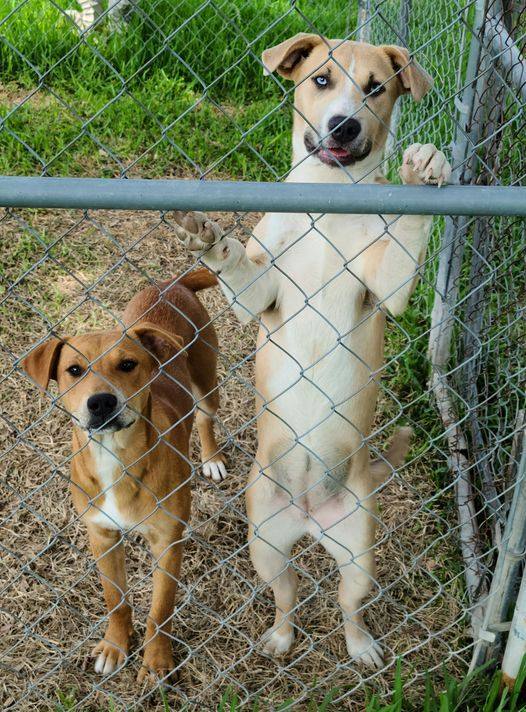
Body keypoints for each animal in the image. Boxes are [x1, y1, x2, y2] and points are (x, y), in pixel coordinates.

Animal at [174, 33, 454, 668]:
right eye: (321, 80)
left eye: (376, 87)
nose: (344, 125)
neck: (330, 202)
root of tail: (310, 519)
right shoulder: (262, 295)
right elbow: (239, 269)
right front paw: (212, 241)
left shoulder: (387, 289)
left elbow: (406, 236)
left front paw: (423, 173)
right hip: (266, 545)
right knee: (288, 595)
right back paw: (280, 638)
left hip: (359, 553)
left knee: (349, 605)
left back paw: (362, 647)